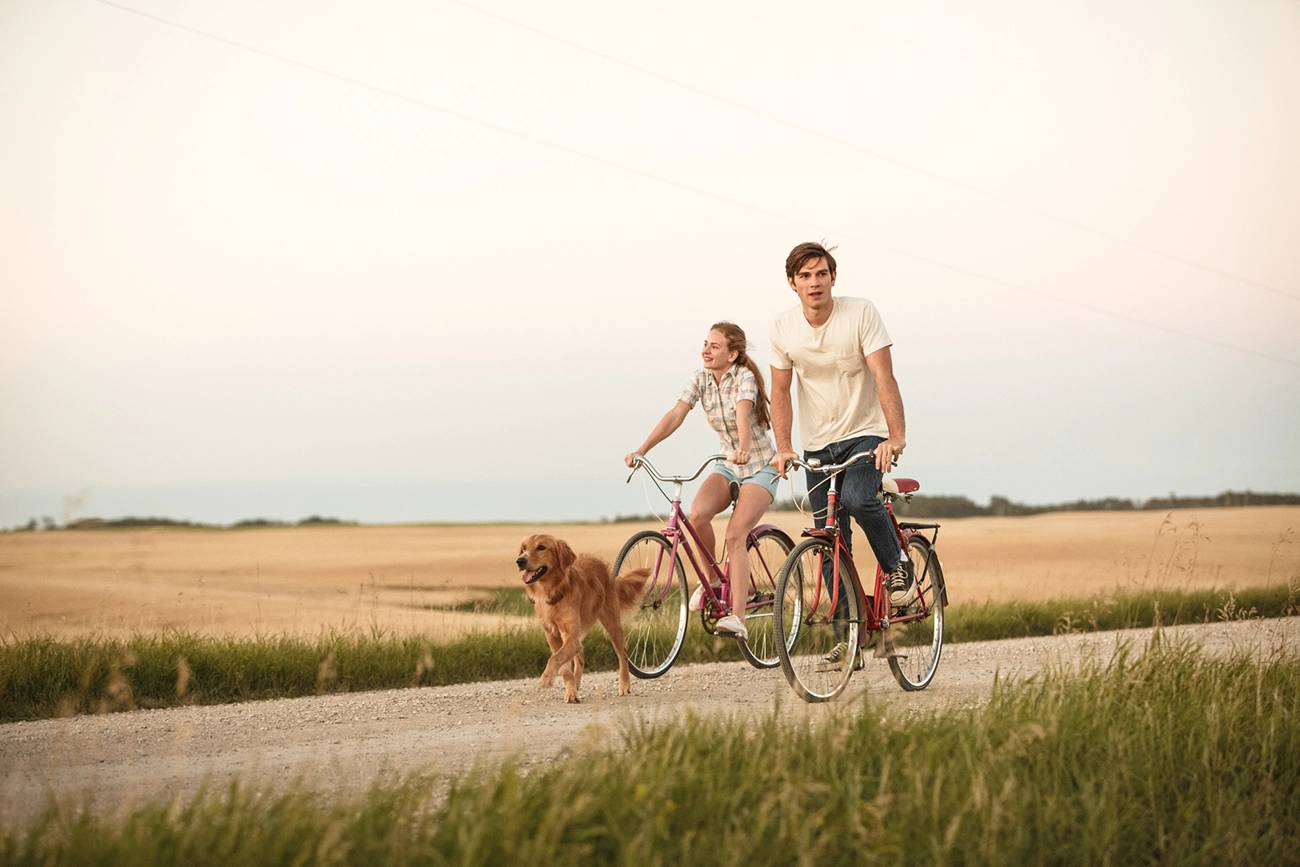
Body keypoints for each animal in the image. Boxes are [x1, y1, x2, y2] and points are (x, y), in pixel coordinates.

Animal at [514, 532, 650, 701]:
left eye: (541, 547)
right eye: (524, 547)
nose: (520, 560)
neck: (553, 592)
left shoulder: (571, 635)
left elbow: (555, 658)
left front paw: (546, 678)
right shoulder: (553, 635)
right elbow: (563, 666)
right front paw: (571, 692)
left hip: (612, 623)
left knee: (623, 652)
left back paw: (624, 685)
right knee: (580, 657)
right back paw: (576, 684)